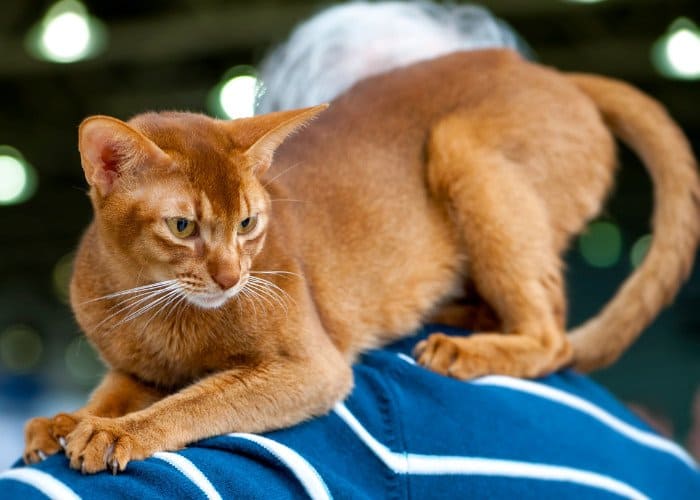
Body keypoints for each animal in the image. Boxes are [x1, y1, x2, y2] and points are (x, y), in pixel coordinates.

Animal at [23, 49, 700, 472]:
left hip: (460, 146)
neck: (152, 307)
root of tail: (560, 75)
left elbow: (195, 401)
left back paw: (462, 347)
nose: (231, 277)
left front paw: (115, 433)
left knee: (554, 335)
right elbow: (112, 390)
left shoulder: (312, 367)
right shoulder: (135, 368)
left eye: (248, 223)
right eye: (183, 226)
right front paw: (61, 421)